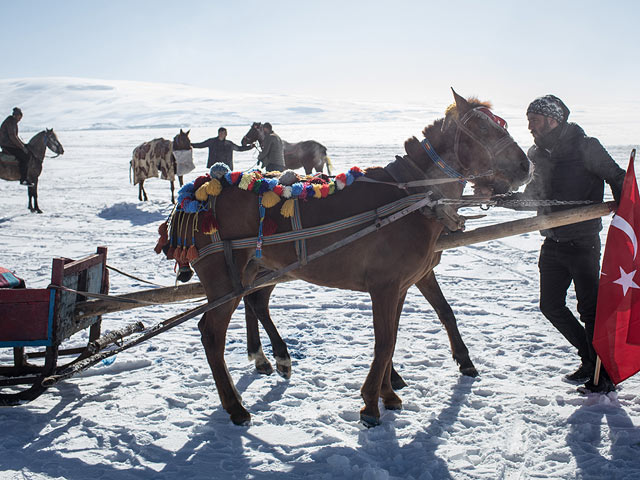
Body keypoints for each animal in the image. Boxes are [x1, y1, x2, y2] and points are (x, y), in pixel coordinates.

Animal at [184, 92, 528, 426]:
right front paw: (371, 404)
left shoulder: (405, 283)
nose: (526, 165)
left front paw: (389, 393)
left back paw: (272, 359)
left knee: (254, 303)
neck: (414, 198)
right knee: (211, 334)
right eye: (482, 127)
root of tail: (199, 194)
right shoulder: (385, 285)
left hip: (260, 270)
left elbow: (408, 330)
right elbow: (385, 341)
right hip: (224, 278)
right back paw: (236, 406)